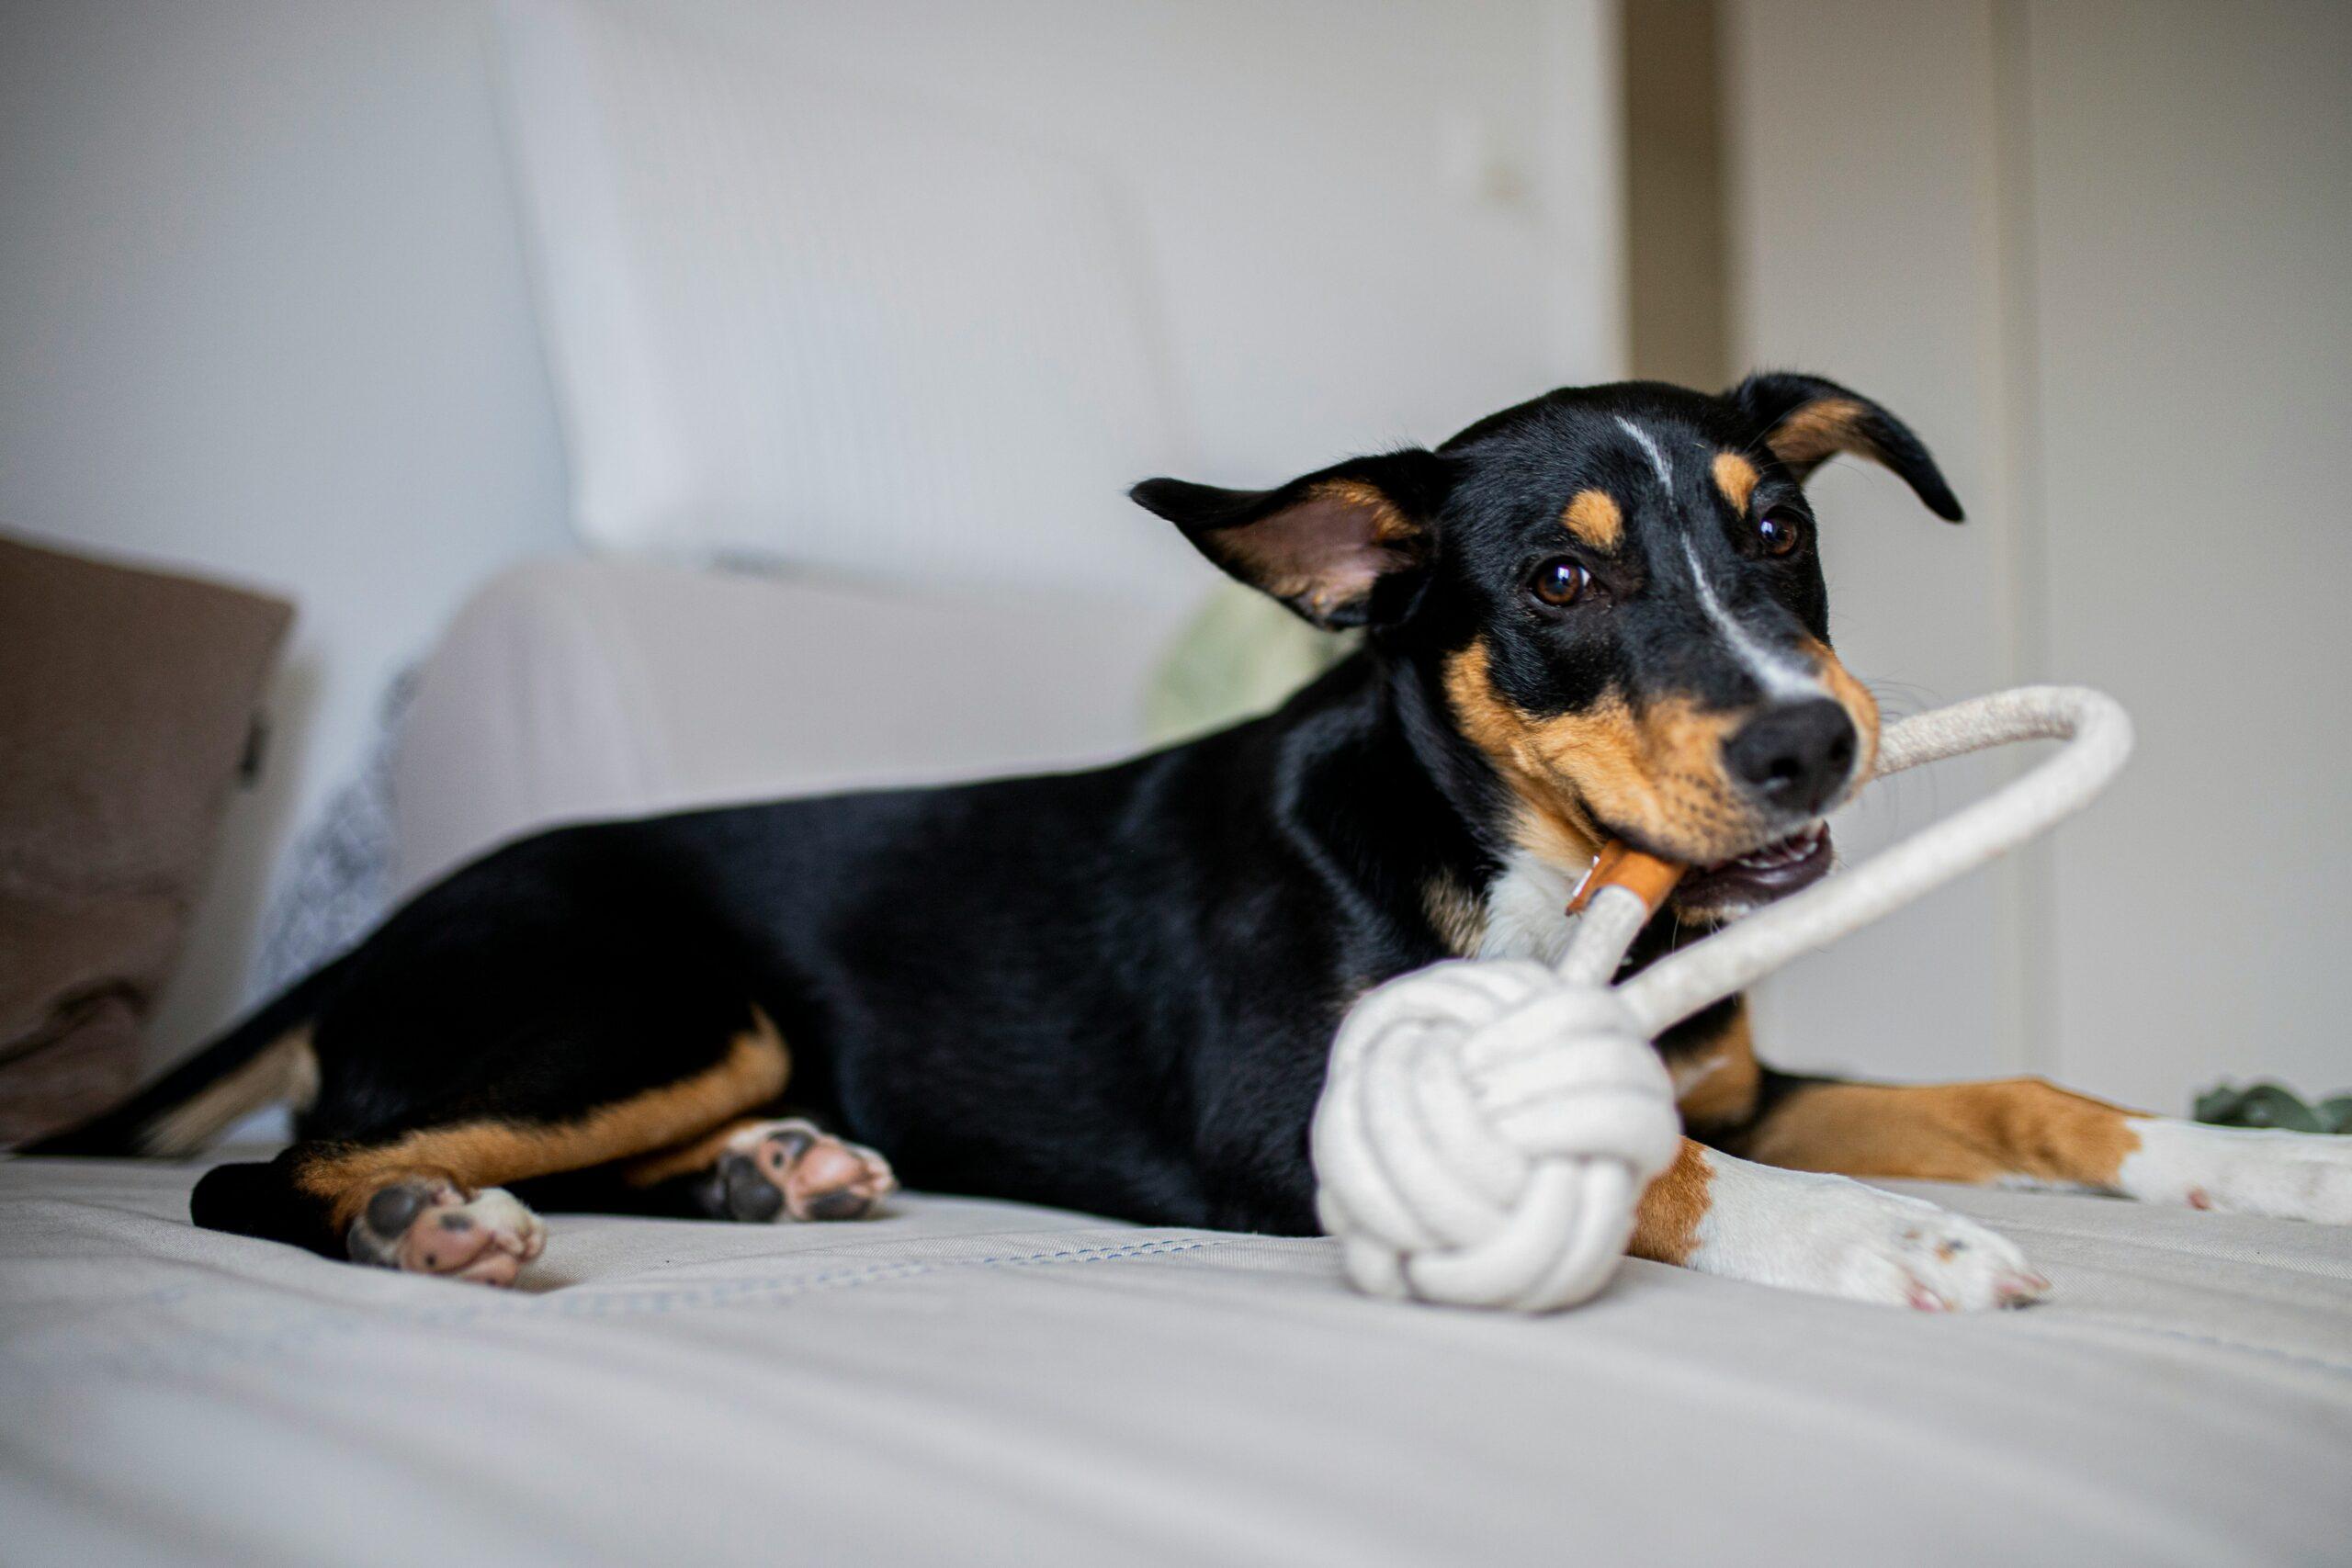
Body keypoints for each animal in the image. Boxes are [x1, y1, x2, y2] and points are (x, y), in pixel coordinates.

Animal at [37, 376, 2352, 1297]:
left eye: (1775, 525)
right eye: (1560, 579)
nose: (1809, 740)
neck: (1504, 856)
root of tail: (386, 925)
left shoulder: (1741, 1072)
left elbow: (2014, 1093)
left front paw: (2262, 1163)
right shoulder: (1302, 1123)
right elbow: (1658, 1169)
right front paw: (1891, 1244)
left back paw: (772, 1176)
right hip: (646, 1003)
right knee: (272, 1169)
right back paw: (424, 1221)